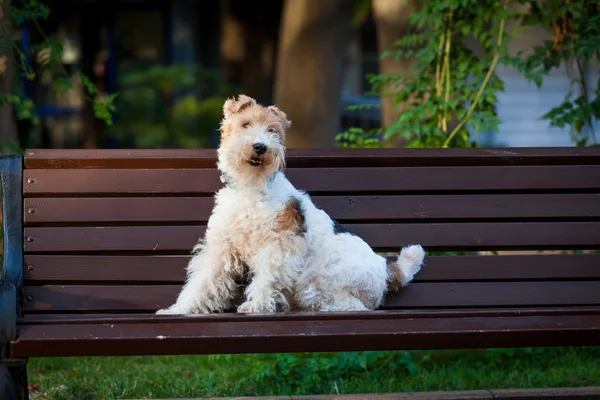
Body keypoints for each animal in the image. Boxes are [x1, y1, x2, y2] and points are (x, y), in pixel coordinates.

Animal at [157, 95, 424, 314]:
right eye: (245, 124)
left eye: (272, 130)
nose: (260, 147)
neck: (251, 188)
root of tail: (387, 269)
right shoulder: (222, 246)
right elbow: (202, 281)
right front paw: (179, 309)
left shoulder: (278, 244)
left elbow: (266, 278)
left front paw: (256, 306)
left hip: (318, 279)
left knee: (351, 305)